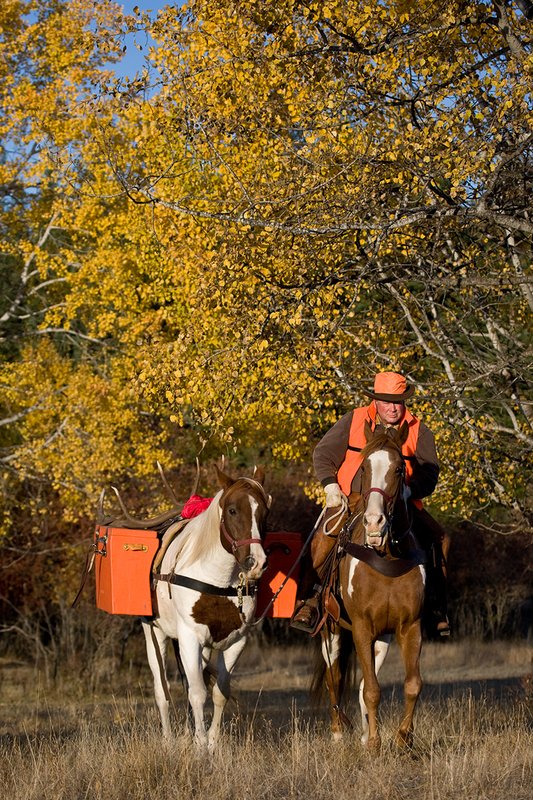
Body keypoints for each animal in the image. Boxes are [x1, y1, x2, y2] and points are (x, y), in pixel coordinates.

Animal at [142, 465, 270, 751]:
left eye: (265, 512)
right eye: (232, 510)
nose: (255, 563)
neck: (218, 580)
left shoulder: (236, 641)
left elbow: (219, 692)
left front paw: (211, 744)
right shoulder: (190, 637)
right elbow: (198, 693)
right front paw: (200, 746)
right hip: (154, 633)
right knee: (161, 690)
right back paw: (168, 740)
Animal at [314, 421, 426, 752]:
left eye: (400, 468)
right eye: (364, 466)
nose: (376, 523)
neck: (385, 556)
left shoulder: (409, 627)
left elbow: (411, 684)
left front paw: (402, 739)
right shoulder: (361, 627)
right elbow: (372, 690)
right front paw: (375, 744)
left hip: (382, 639)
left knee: (364, 679)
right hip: (331, 630)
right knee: (334, 677)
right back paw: (339, 732)